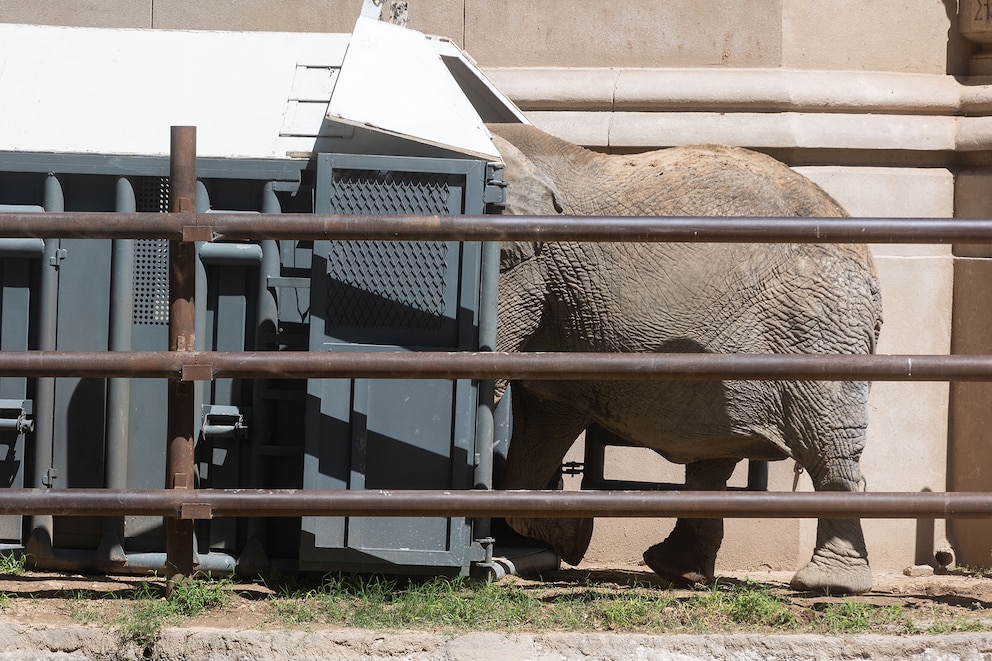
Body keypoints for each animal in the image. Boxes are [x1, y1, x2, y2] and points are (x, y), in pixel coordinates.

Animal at [488, 123, 883, 595]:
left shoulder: (522, 269)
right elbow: (545, 412)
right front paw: (574, 535)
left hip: (818, 328)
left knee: (829, 444)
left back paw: (828, 585)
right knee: (718, 450)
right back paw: (677, 570)